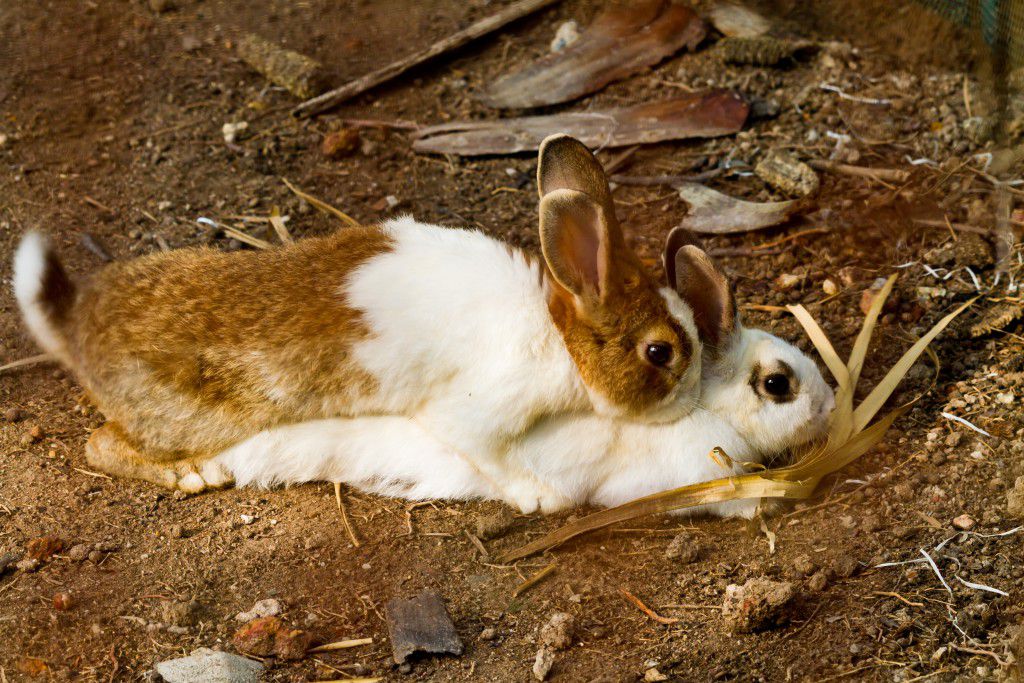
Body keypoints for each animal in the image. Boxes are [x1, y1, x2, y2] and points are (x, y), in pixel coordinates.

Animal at [14, 135, 712, 507]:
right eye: (660, 352)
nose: (697, 394)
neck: (561, 337)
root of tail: (74, 324)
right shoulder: (474, 412)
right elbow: (496, 456)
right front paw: (541, 498)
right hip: (181, 420)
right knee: (101, 444)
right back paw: (193, 474)